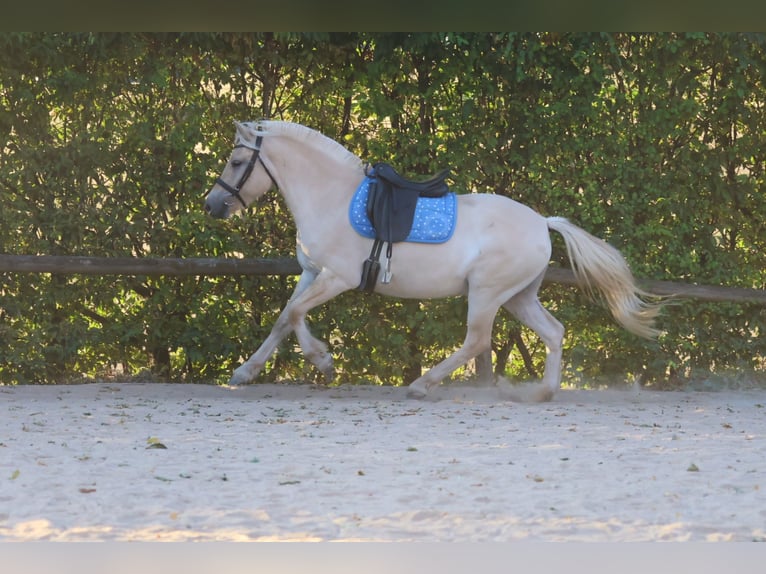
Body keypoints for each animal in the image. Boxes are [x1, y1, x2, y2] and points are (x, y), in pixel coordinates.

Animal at [204, 120, 662, 401]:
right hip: (519, 297)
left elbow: (297, 314)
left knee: (477, 340)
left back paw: (422, 385)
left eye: (238, 161)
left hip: (486, 292)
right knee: (553, 331)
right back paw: (542, 393)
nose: (212, 205)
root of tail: (541, 222)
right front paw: (244, 373)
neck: (331, 197)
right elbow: (285, 317)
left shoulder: (337, 277)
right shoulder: (310, 272)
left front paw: (324, 361)